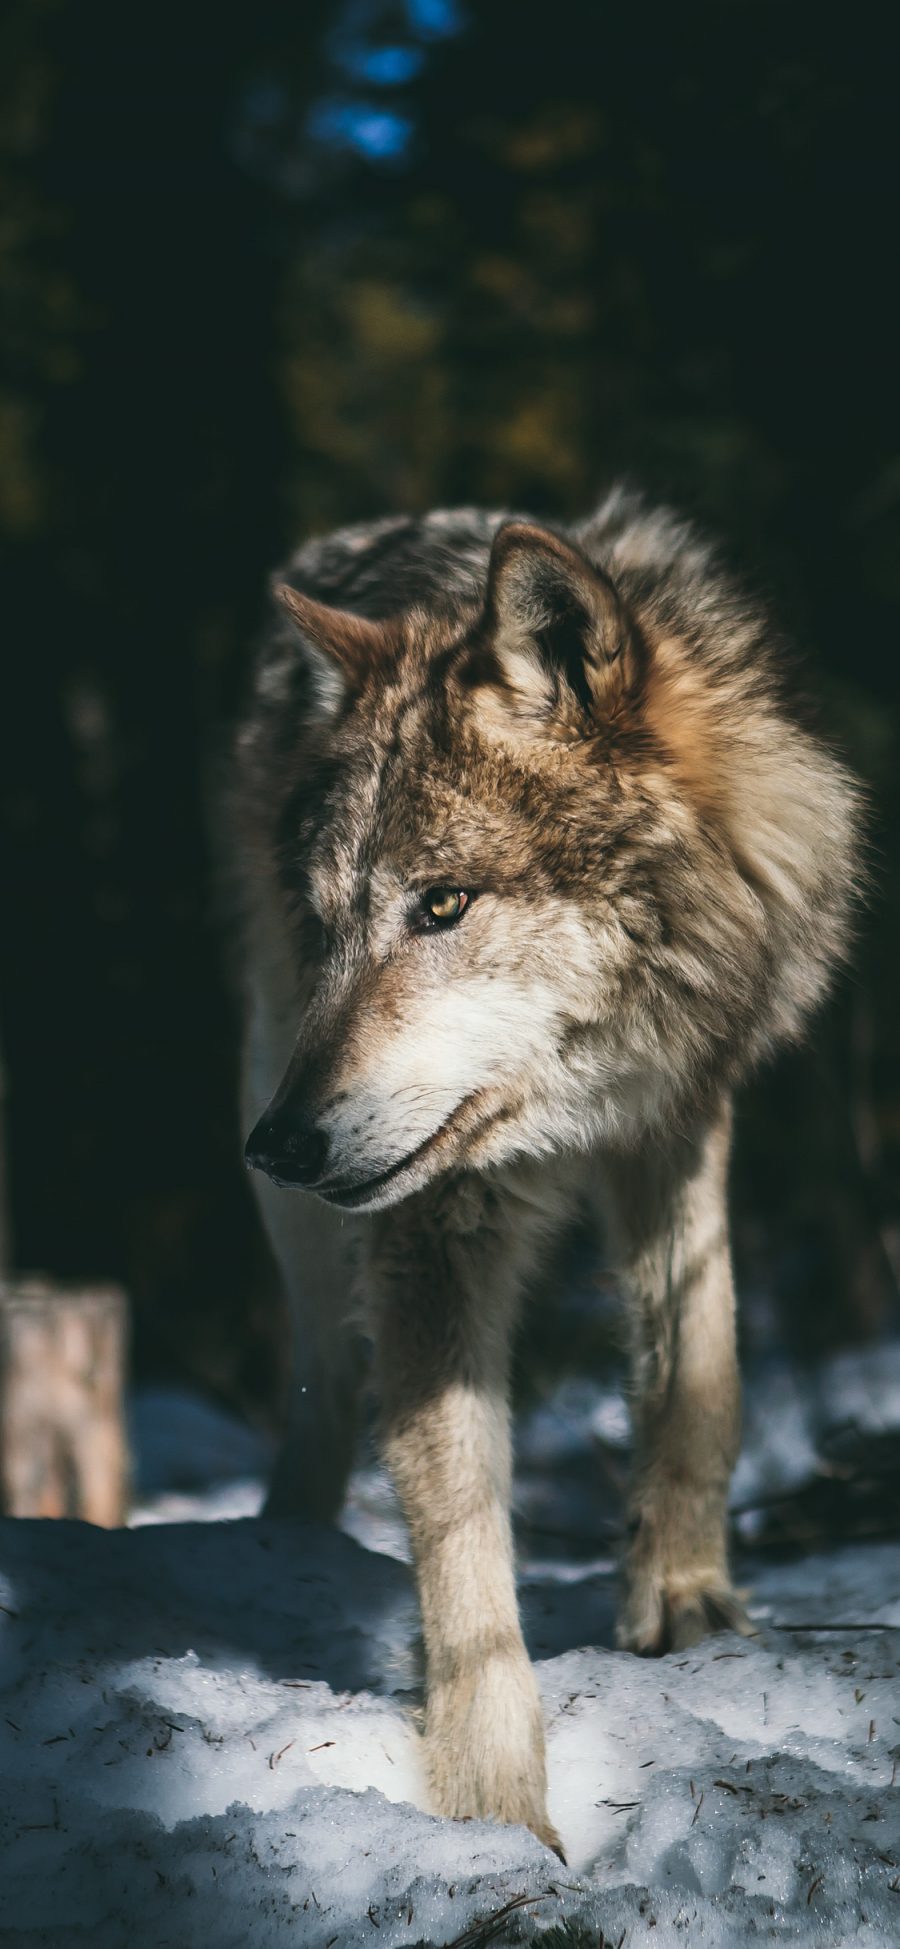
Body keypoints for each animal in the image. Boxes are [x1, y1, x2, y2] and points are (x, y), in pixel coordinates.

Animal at [228, 479, 861, 1847]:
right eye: (329, 921)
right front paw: (492, 1808)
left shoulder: (680, 1113)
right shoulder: (432, 1215)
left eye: (444, 904)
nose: (282, 1141)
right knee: (322, 1377)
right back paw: (281, 1543)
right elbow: (459, 1521)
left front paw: (684, 1599)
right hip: (271, 1103)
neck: (576, 1095)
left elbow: (701, 1370)